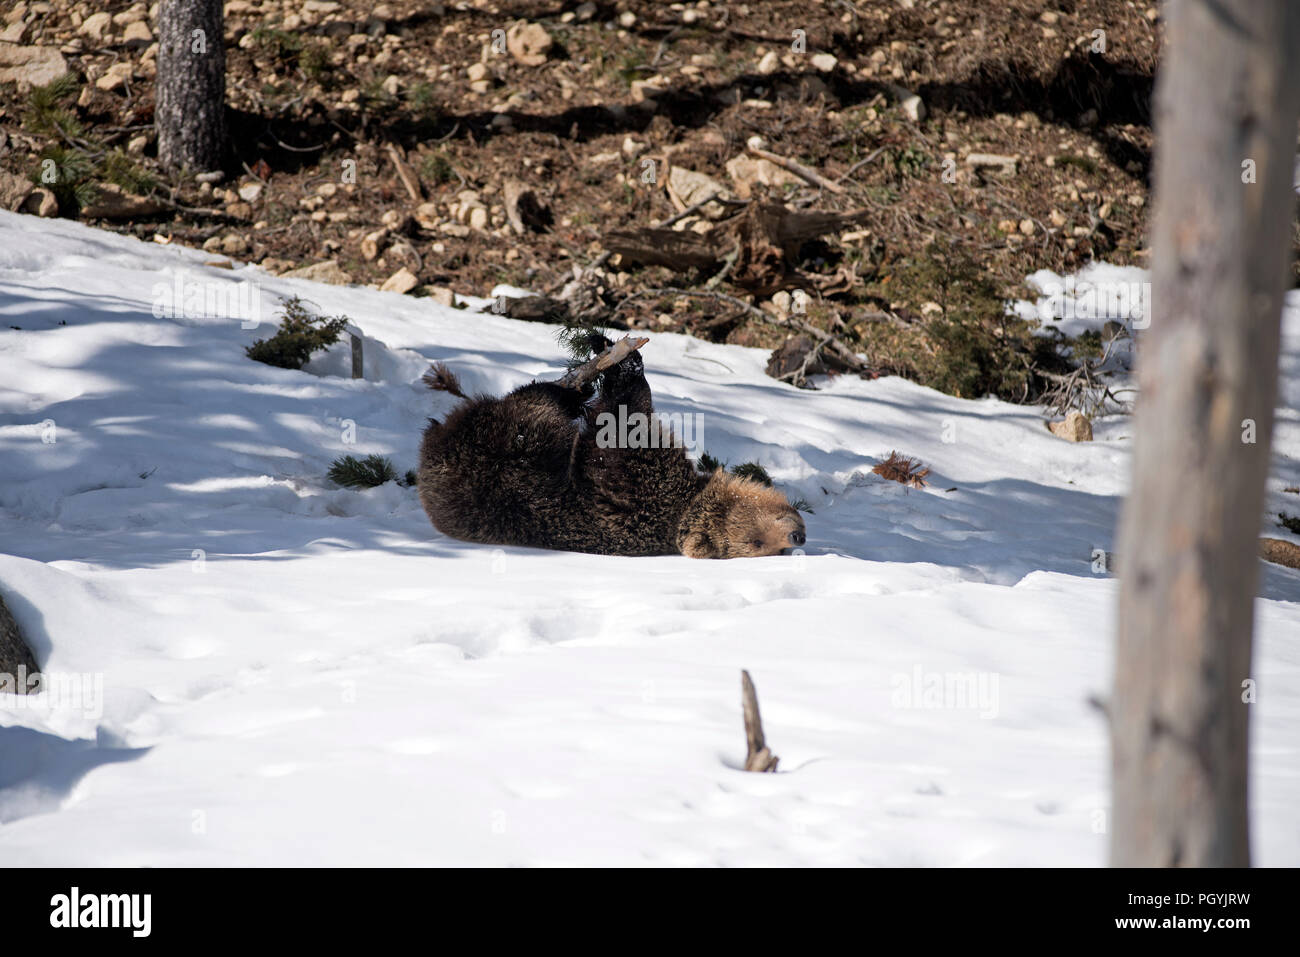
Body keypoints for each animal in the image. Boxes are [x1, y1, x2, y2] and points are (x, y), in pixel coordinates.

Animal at [418, 343, 800, 556]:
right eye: (757, 541)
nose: (796, 537)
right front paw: (612, 347)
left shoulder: (642, 482)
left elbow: (621, 423)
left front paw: (623, 365)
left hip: (496, 449)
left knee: (532, 406)